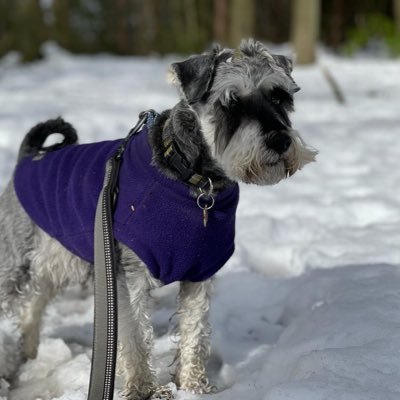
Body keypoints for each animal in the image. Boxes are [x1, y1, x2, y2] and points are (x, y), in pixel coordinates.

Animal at [0, 38, 316, 400]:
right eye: (230, 102)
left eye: (279, 96)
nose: (280, 140)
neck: (197, 183)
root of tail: (29, 156)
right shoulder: (128, 275)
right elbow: (135, 336)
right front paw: (144, 390)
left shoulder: (199, 273)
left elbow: (195, 331)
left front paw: (193, 386)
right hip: (15, 265)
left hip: (55, 263)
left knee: (32, 306)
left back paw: (30, 355)